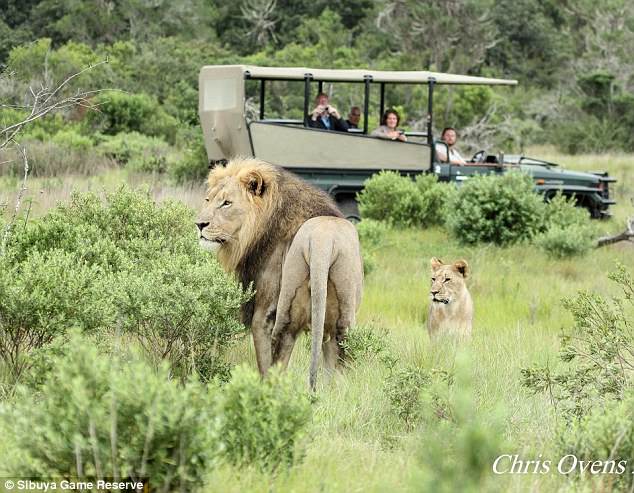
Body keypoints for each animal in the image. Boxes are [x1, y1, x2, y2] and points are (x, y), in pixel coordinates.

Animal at [194, 158, 360, 388]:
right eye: (208, 199)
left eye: (226, 203)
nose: (200, 224)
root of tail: (323, 240)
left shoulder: (263, 311)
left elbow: (264, 362)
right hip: (342, 319)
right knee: (336, 364)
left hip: (285, 312)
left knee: (278, 360)